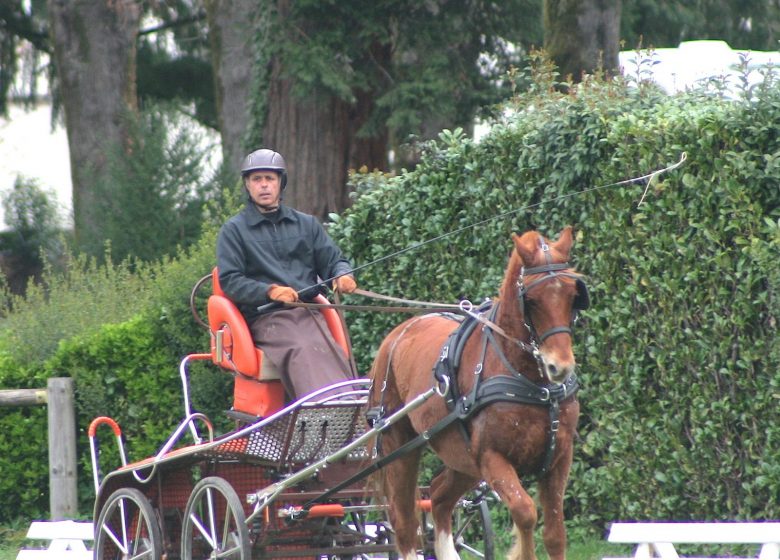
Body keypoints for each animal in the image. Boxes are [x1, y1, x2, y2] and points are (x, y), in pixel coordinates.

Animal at [370, 225, 584, 556]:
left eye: (573, 295)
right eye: (532, 300)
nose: (559, 366)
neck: (535, 386)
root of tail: (396, 336)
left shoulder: (559, 457)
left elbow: (555, 534)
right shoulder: (491, 457)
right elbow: (525, 512)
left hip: (462, 458)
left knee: (439, 497)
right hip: (401, 446)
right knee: (403, 520)